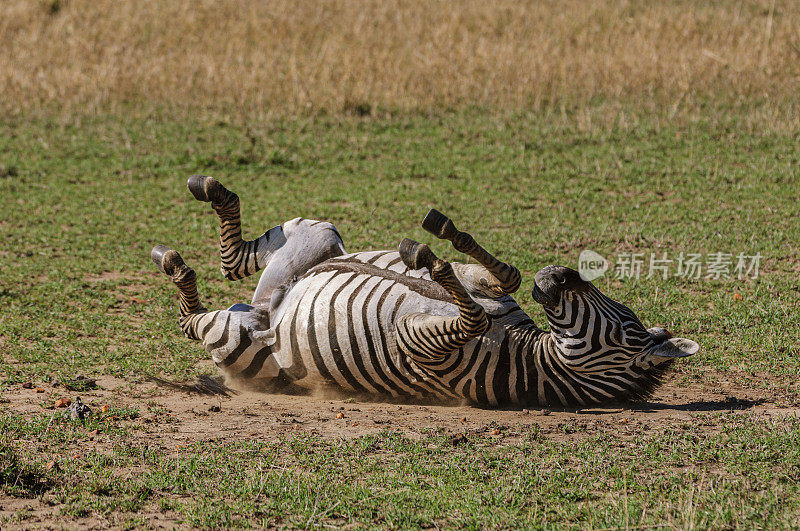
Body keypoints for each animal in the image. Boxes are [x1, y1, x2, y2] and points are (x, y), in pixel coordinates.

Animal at [152, 177, 700, 406]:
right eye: (622, 310)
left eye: (624, 328)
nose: (565, 273)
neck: (526, 354)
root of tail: (266, 311)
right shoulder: (491, 291)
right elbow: (504, 277)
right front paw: (441, 240)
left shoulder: (418, 346)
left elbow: (472, 315)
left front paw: (430, 261)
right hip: (318, 237)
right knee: (236, 258)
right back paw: (208, 195)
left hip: (239, 337)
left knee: (194, 316)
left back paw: (176, 266)